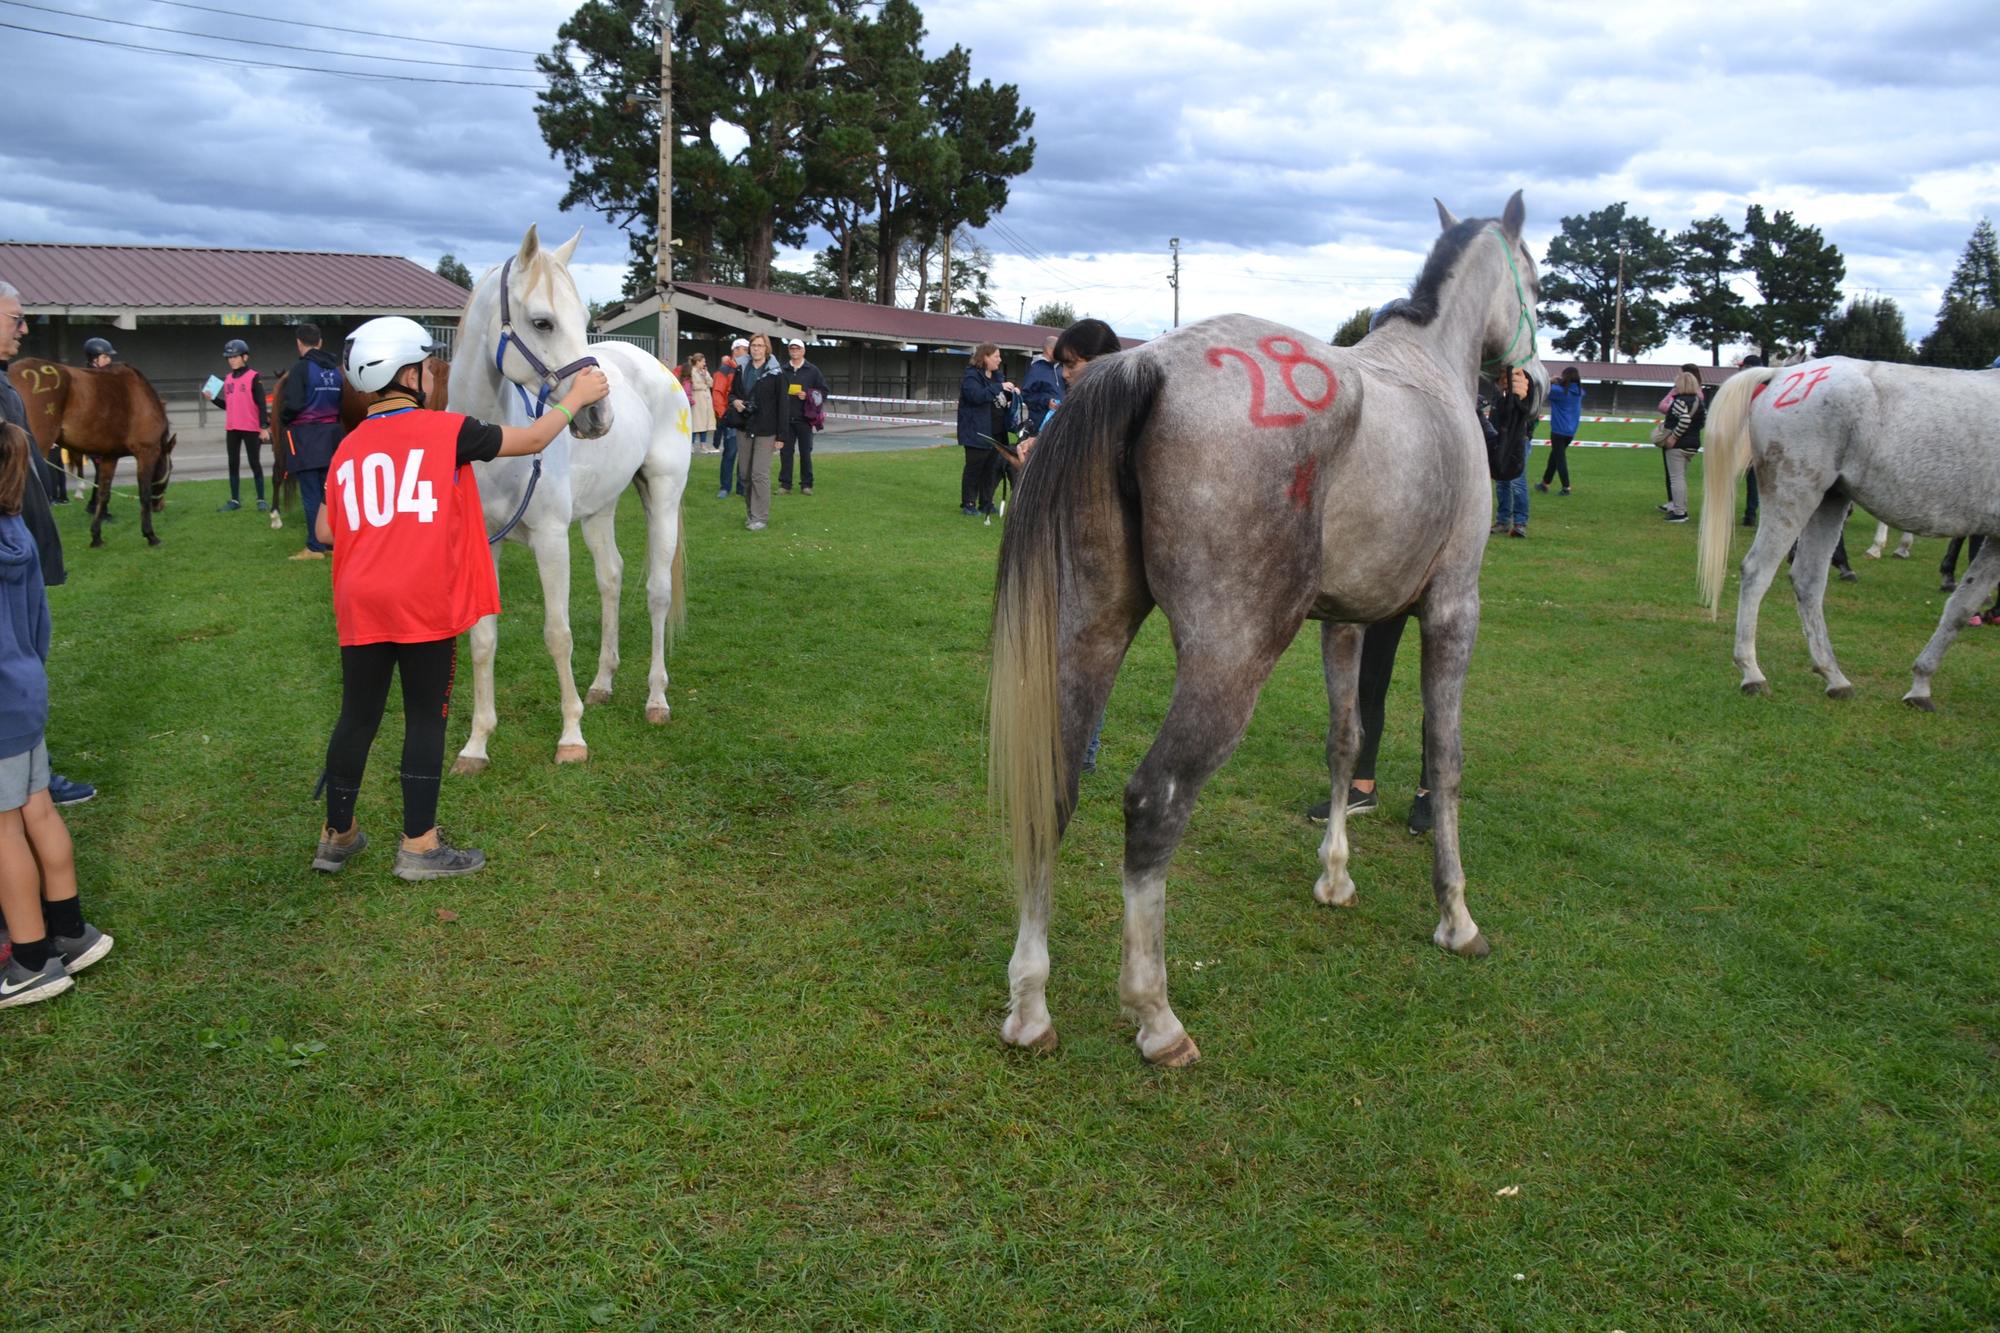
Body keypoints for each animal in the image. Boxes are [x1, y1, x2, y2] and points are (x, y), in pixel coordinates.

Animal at [6, 358, 175, 544]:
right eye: (171, 468)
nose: (160, 506)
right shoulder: (147, 451)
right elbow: (144, 494)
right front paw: (150, 534)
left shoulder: (110, 456)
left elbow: (103, 493)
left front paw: (96, 535)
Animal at [446, 224, 696, 768]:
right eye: (542, 322)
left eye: (584, 321)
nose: (598, 414)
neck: (496, 441)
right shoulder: (485, 544)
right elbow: (483, 638)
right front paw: (476, 744)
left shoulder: (551, 539)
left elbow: (558, 635)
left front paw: (571, 737)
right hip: (600, 509)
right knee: (611, 579)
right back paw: (602, 683)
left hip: (663, 497)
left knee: (657, 593)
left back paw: (656, 699)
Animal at [988, 197, 1544, 1064]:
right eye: (1538, 281)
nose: (1540, 381)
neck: (1428, 371)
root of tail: (1145, 368)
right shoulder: (1455, 609)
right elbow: (1445, 758)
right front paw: (1456, 917)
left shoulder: (1345, 623)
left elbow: (1345, 739)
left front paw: (1336, 876)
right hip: (1231, 661)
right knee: (1154, 802)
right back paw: (1156, 1018)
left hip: (1090, 636)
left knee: (1056, 787)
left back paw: (1030, 1007)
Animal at [1696, 352, 2000, 704]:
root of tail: (1782, 375)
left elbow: (1962, 606)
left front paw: (1921, 684)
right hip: (1795, 495)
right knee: (1757, 572)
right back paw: (1752, 672)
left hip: (1830, 500)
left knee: (1808, 580)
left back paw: (1834, 676)